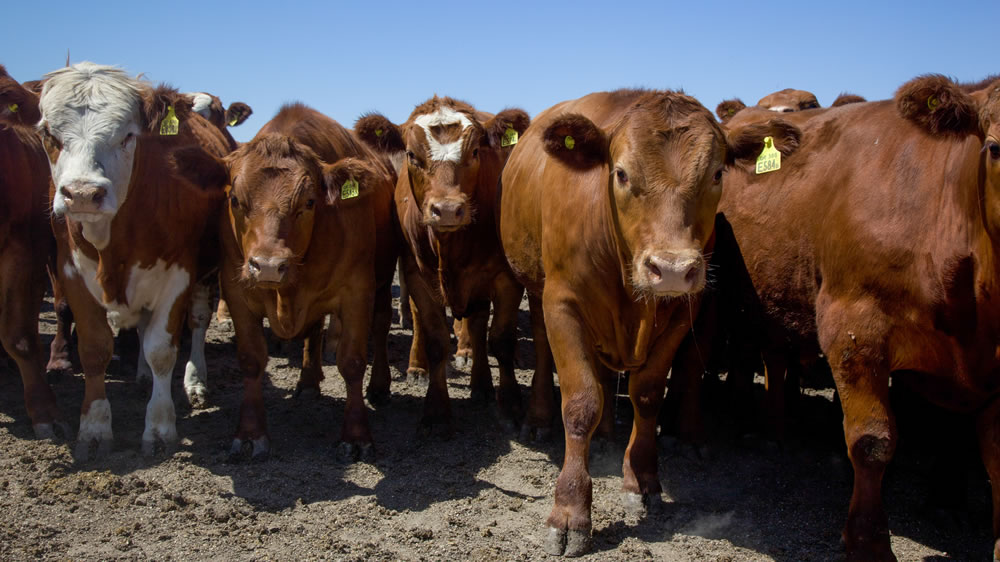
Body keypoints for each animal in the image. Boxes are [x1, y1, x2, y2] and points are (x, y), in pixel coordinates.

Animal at [39, 61, 230, 458]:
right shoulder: (70, 270)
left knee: (197, 322)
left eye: (128, 136)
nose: (83, 194)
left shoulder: (179, 272)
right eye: (48, 133)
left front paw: (159, 427)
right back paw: (141, 375)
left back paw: (195, 380)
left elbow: (162, 349)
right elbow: (95, 348)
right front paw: (94, 427)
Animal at [209, 104, 396, 460]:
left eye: (309, 202)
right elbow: (251, 359)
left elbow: (352, 362)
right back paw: (308, 381)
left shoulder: (357, 290)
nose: (268, 267)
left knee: (380, 327)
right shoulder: (236, 291)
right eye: (235, 200)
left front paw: (356, 435)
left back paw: (379, 386)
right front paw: (251, 433)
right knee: (313, 331)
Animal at [358, 96, 536, 430]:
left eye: (476, 151)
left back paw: (480, 380)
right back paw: (417, 368)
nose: (448, 209)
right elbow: (436, 340)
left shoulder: (504, 276)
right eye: (411, 154)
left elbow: (501, 339)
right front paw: (437, 412)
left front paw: (511, 404)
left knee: (477, 325)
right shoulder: (417, 274)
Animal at [500, 88, 804, 556]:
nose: (673, 268)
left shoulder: (683, 310)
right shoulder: (562, 303)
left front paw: (641, 480)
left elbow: (646, 395)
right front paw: (570, 510)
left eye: (718, 173)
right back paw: (537, 418)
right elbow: (580, 403)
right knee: (546, 350)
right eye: (621, 173)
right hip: (536, 289)